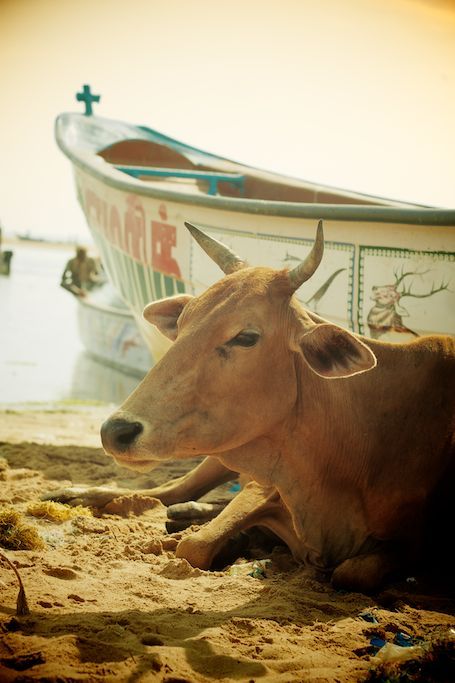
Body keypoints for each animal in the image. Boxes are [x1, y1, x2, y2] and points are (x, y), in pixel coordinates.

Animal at [50, 223, 455, 592]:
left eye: (246, 336)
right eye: (182, 322)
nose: (115, 431)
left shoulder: (416, 542)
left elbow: (353, 573)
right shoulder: (261, 487)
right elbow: (193, 545)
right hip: (217, 456)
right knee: (168, 490)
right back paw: (78, 494)